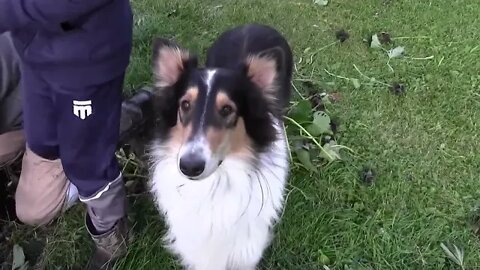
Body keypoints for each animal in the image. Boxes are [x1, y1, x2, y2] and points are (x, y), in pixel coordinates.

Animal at [148, 23, 294, 270]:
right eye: (185, 105)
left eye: (227, 109)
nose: (189, 166)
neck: (215, 183)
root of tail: (253, 24)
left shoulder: (245, 252)